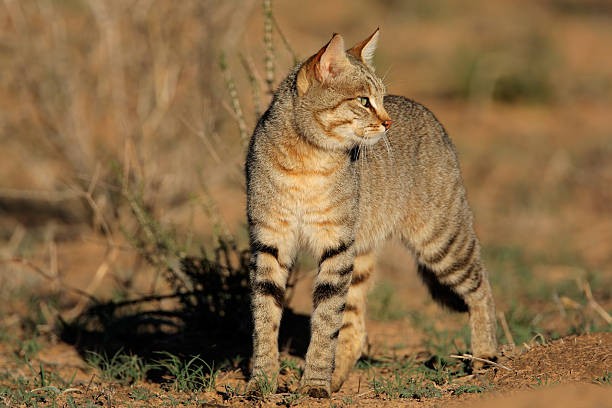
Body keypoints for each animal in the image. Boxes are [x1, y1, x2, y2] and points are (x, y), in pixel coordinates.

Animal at [245, 29, 498, 398]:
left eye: (380, 97)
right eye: (364, 100)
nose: (387, 121)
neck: (307, 160)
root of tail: (429, 113)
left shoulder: (335, 244)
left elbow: (325, 321)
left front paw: (314, 384)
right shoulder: (269, 241)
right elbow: (265, 319)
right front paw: (262, 381)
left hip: (441, 239)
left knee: (482, 286)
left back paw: (486, 356)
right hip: (363, 252)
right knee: (356, 325)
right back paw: (338, 379)